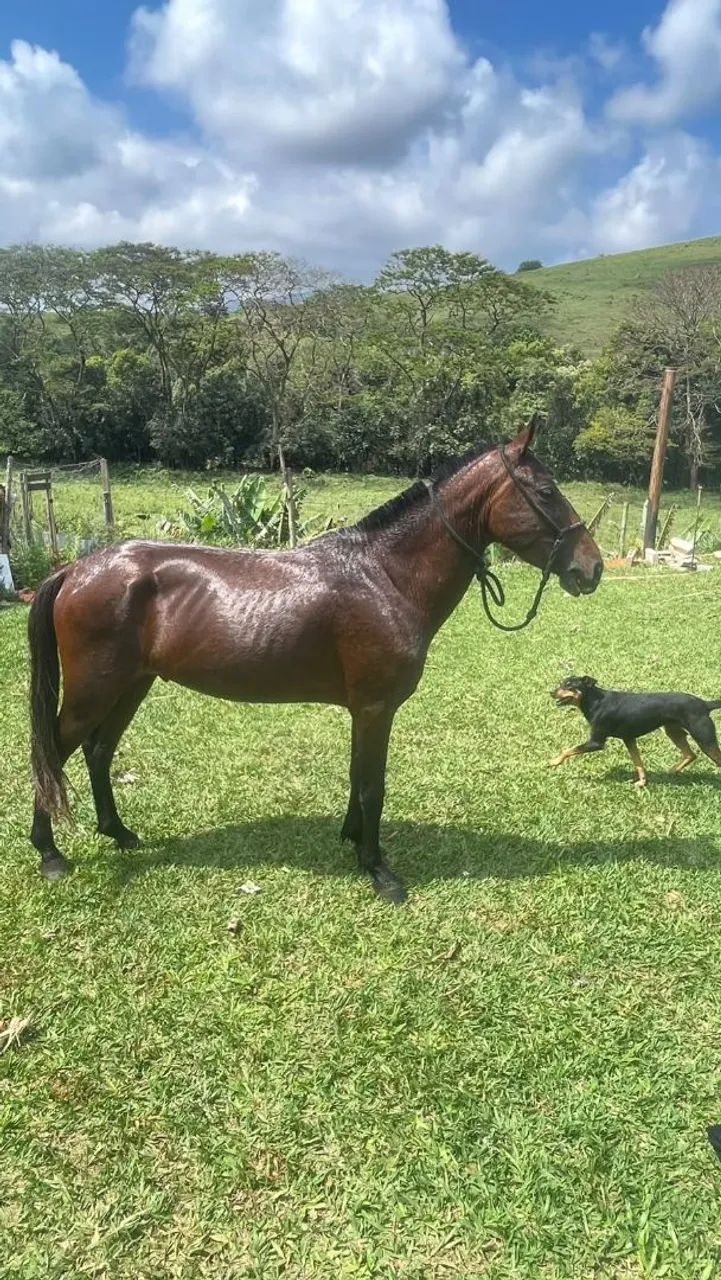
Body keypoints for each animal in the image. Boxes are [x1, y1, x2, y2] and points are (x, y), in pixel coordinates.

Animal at [27, 421, 602, 902]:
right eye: (546, 491)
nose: (591, 568)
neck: (384, 576)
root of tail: (76, 569)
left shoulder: (362, 710)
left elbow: (356, 776)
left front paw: (351, 840)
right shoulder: (375, 707)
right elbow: (373, 785)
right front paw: (378, 870)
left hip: (132, 685)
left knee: (99, 752)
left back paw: (119, 833)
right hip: (93, 691)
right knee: (52, 754)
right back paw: (50, 854)